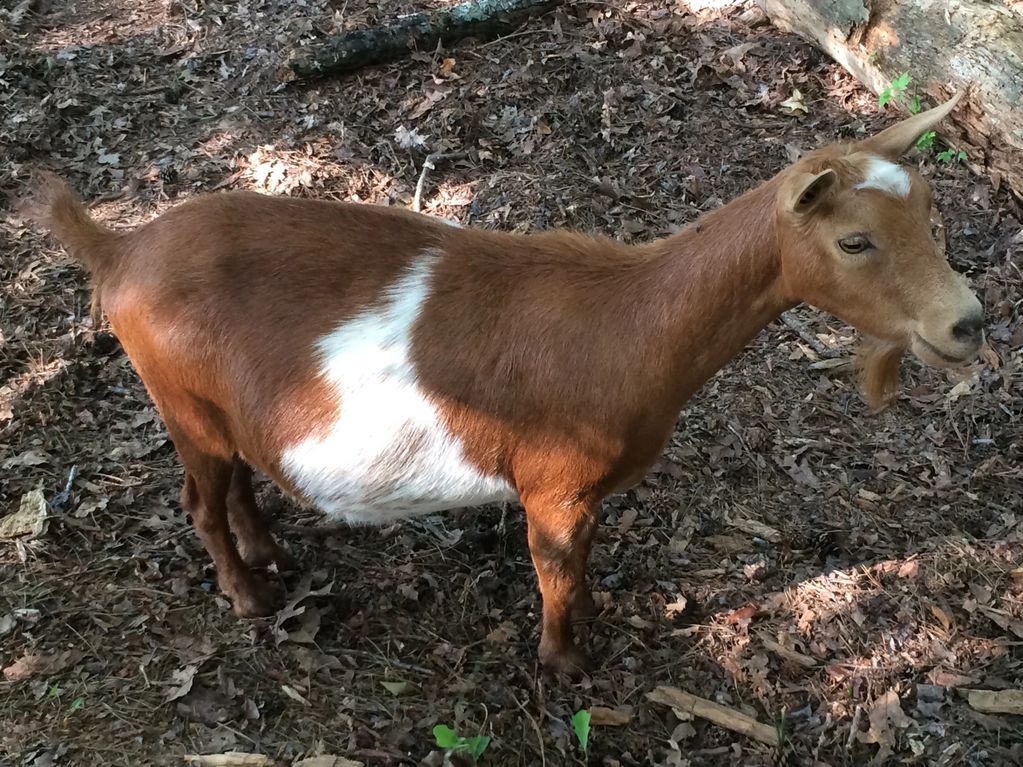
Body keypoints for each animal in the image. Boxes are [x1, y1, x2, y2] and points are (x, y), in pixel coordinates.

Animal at [25, 94, 982, 670]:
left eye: (933, 215)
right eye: (853, 240)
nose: (965, 324)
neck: (630, 320)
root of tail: (119, 248)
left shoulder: (584, 491)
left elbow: (578, 563)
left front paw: (587, 627)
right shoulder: (554, 485)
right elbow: (553, 567)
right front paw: (567, 660)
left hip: (220, 408)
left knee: (234, 482)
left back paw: (268, 552)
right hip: (180, 399)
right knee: (198, 499)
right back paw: (251, 595)